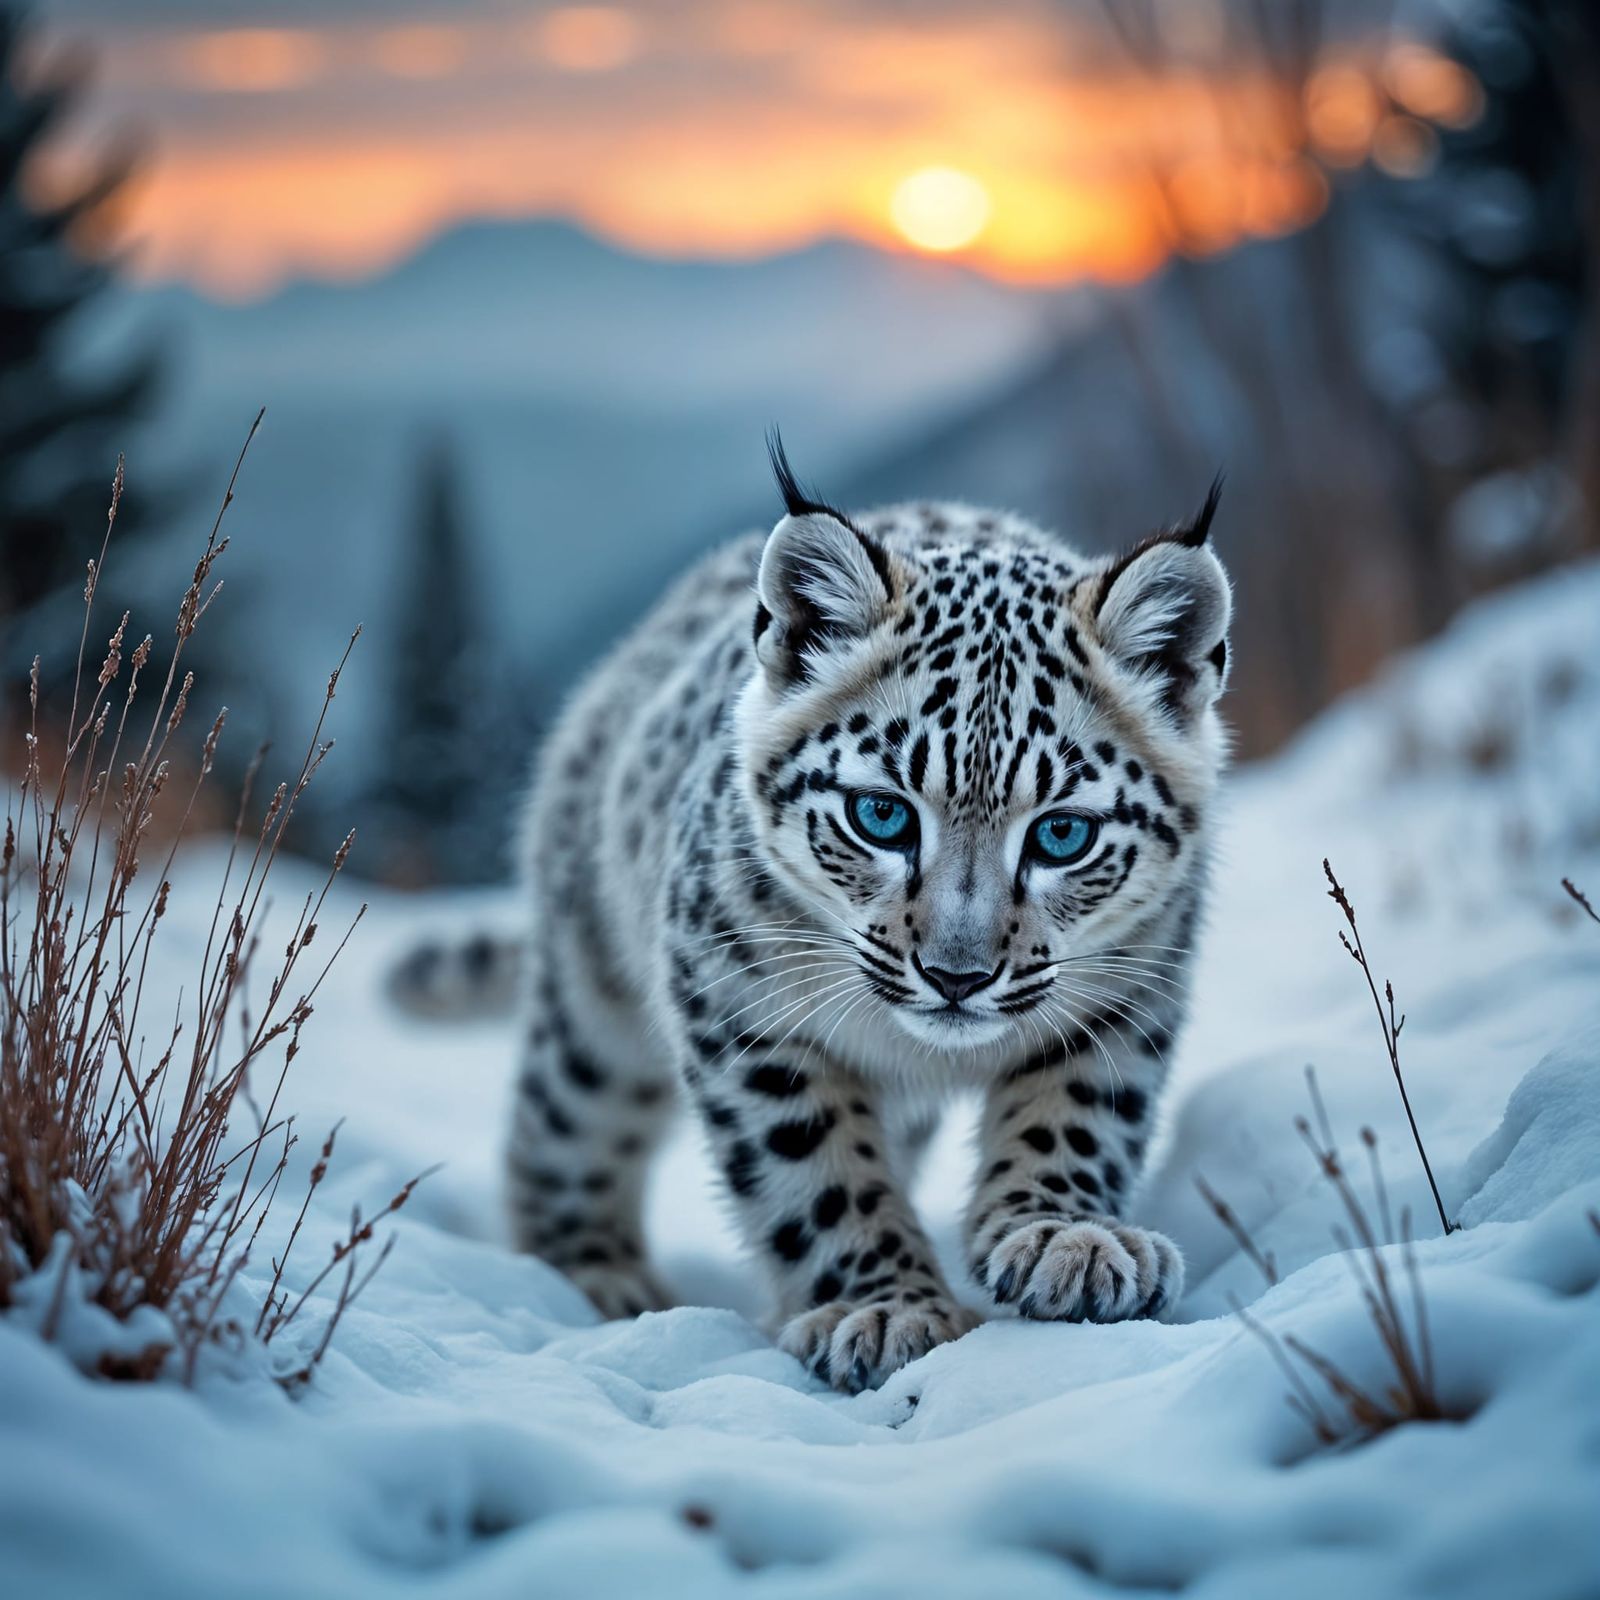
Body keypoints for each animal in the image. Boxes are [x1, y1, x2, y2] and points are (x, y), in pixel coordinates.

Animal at [411, 436, 1232, 1393]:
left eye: (1062, 832)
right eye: (881, 815)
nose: (956, 976)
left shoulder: (1127, 989)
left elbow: (1078, 1114)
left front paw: (1070, 1240)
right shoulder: (741, 1010)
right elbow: (815, 1170)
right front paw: (885, 1310)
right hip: (593, 1003)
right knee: (562, 1128)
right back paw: (593, 1278)